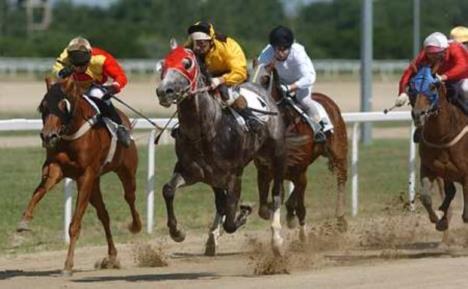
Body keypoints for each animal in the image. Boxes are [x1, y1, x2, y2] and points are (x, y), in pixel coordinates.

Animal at [16, 77, 141, 274]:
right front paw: (24, 221)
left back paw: (136, 225)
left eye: (64, 106)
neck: (71, 136)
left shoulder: (86, 175)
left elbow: (74, 224)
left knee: (129, 197)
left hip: (126, 170)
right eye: (43, 106)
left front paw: (68, 265)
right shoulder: (56, 168)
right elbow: (38, 192)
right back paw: (111, 257)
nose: (48, 136)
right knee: (104, 215)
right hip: (95, 184)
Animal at [155, 42, 284, 254]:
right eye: (163, 64)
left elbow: (231, 221)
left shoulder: (234, 175)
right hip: (252, 164)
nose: (164, 91)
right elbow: (168, 190)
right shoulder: (192, 172)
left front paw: (243, 213)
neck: (205, 131)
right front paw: (177, 232)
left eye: (187, 63)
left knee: (276, 194)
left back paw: (277, 240)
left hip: (275, 156)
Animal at [252, 63, 348, 241]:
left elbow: (298, 202)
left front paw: (299, 231)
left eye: (266, 78)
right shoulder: (265, 170)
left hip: (339, 152)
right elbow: (264, 207)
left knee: (341, 178)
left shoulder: (299, 170)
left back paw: (341, 219)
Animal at [412, 64, 466, 232]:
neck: (443, 136)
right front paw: (438, 219)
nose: (418, 114)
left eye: (432, 87)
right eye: (412, 88)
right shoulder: (429, 167)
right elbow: (425, 196)